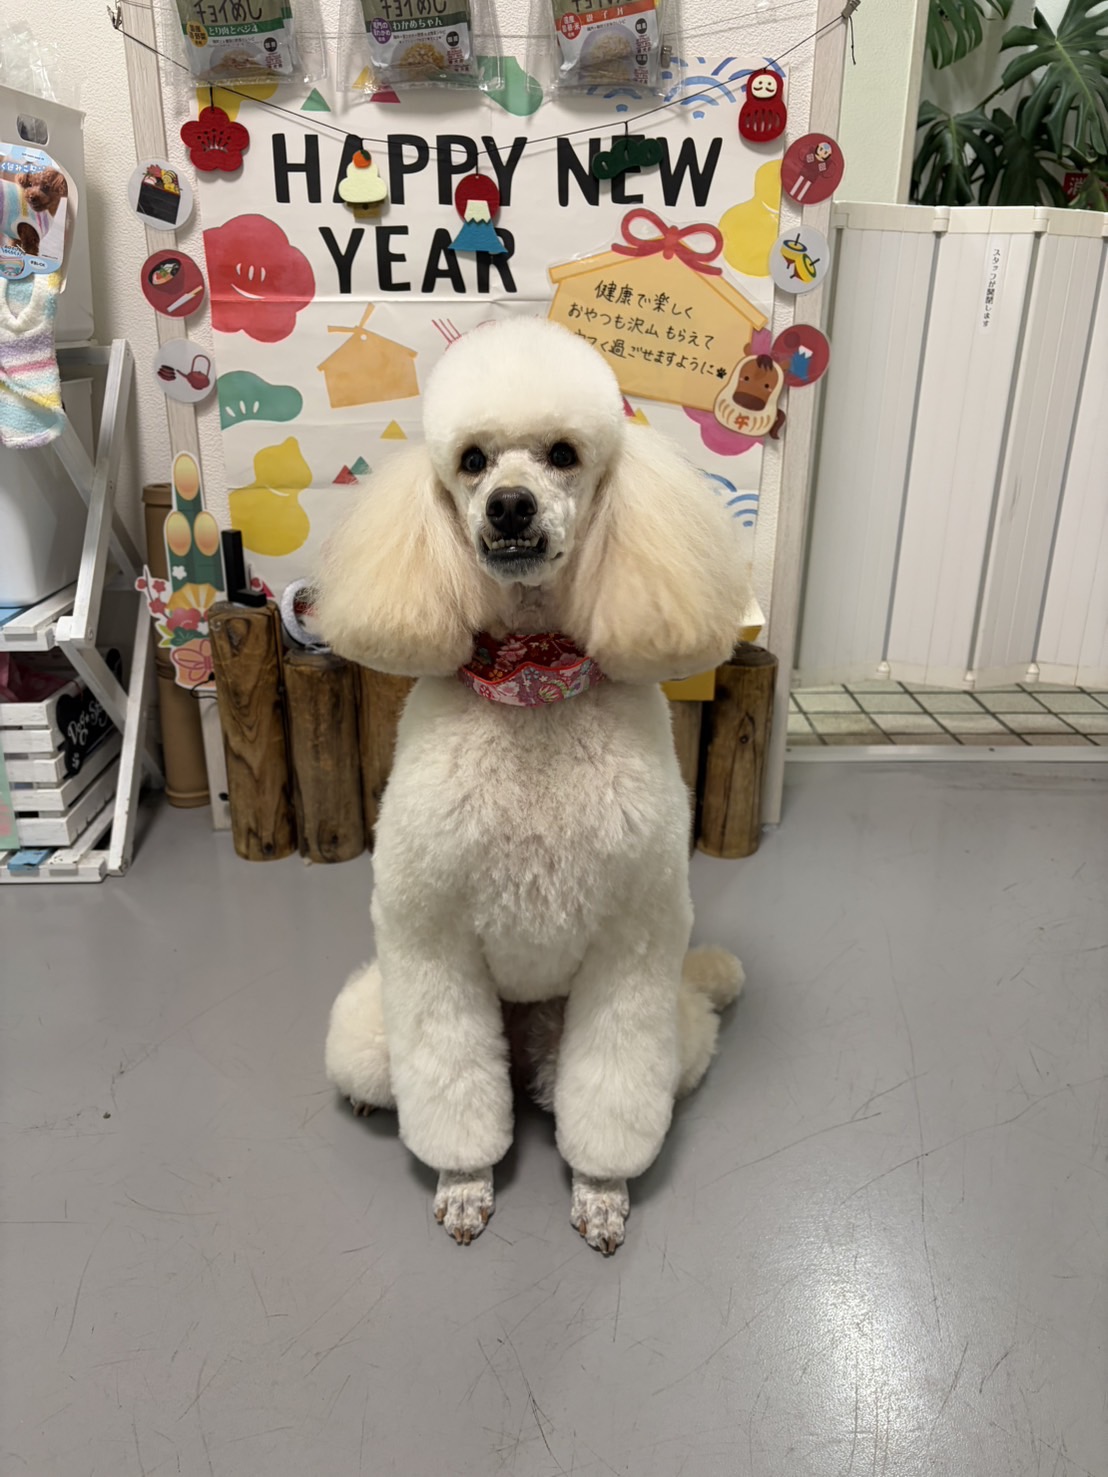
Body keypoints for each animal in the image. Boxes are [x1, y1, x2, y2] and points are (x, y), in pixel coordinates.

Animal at [320, 317, 749, 1255]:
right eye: (473, 461)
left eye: (562, 454)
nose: (509, 506)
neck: (531, 683)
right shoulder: (431, 938)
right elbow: (451, 1090)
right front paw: (465, 1184)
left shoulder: (632, 946)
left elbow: (611, 1098)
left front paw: (601, 1193)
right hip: (370, 1027)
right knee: (396, 1070)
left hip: (650, 1027)